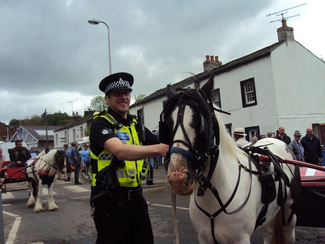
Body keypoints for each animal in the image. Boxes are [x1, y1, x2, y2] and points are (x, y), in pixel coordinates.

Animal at [159, 75, 298, 244]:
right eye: (167, 125)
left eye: (201, 122)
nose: (177, 178)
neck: (213, 196)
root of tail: (276, 141)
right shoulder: (204, 238)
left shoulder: (240, 239)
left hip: (290, 211)